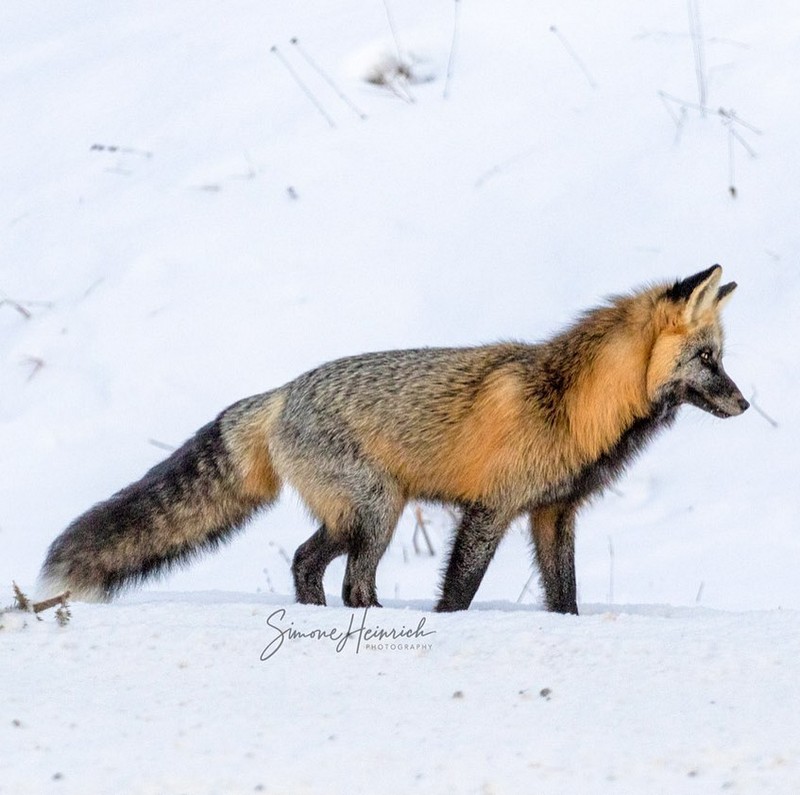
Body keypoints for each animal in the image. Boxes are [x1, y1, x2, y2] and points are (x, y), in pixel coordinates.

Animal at [39, 268, 752, 616]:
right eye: (709, 359)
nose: (746, 404)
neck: (574, 402)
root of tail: (281, 393)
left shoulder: (553, 513)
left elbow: (565, 597)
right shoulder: (491, 509)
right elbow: (460, 591)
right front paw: (448, 630)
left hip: (361, 516)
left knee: (307, 563)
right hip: (378, 512)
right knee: (348, 580)